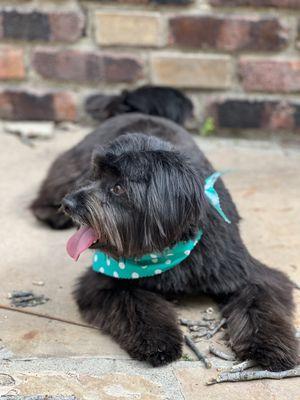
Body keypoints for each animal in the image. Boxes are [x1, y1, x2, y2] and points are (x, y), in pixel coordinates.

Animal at [31, 86, 298, 370]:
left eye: (118, 188)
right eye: (95, 176)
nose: (68, 203)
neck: (166, 246)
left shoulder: (248, 275)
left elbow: (261, 306)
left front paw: (270, 346)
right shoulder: (108, 282)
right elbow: (137, 305)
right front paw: (158, 341)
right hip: (73, 165)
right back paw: (49, 212)